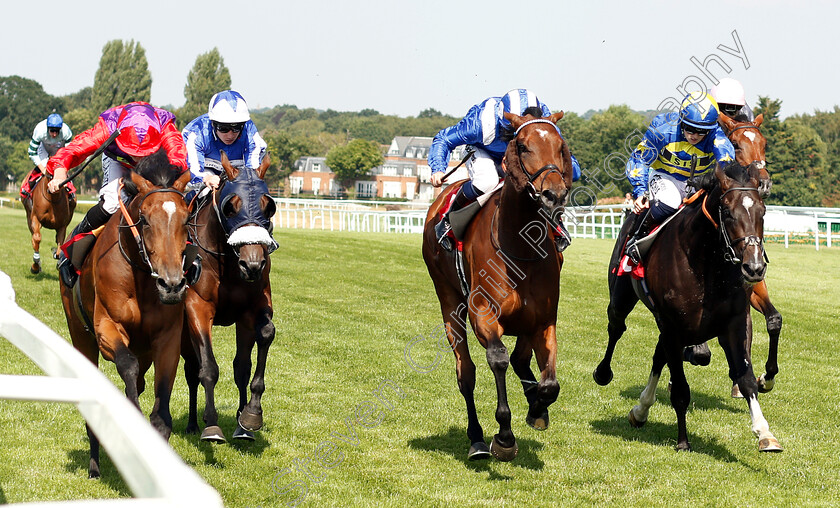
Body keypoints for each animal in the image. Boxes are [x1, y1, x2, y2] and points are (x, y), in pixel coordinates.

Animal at [58, 150, 192, 476]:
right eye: (144, 219)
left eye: (186, 219)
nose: (172, 284)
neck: (141, 277)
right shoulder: (106, 327)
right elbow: (126, 364)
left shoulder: (167, 339)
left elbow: (161, 412)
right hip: (80, 336)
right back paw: (94, 465)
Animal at [183, 151, 276, 440]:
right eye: (230, 207)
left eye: (269, 207)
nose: (253, 264)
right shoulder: (197, 308)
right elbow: (208, 369)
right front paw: (211, 425)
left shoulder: (252, 309)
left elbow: (251, 356)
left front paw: (248, 417)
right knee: (191, 369)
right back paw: (193, 423)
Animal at [426, 111, 572, 460]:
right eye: (523, 146)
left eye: (560, 146)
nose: (554, 194)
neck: (521, 249)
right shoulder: (483, 313)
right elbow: (498, 358)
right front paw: (504, 436)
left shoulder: (543, 319)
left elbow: (549, 383)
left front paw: (538, 409)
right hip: (449, 302)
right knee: (466, 373)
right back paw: (477, 439)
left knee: (521, 361)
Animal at [592, 161, 784, 450]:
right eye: (728, 213)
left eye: (762, 212)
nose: (754, 267)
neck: (706, 263)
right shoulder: (674, 326)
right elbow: (682, 390)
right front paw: (683, 440)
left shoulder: (734, 321)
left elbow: (746, 377)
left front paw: (764, 433)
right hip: (622, 297)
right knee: (616, 327)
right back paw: (604, 373)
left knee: (658, 354)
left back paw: (641, 409)